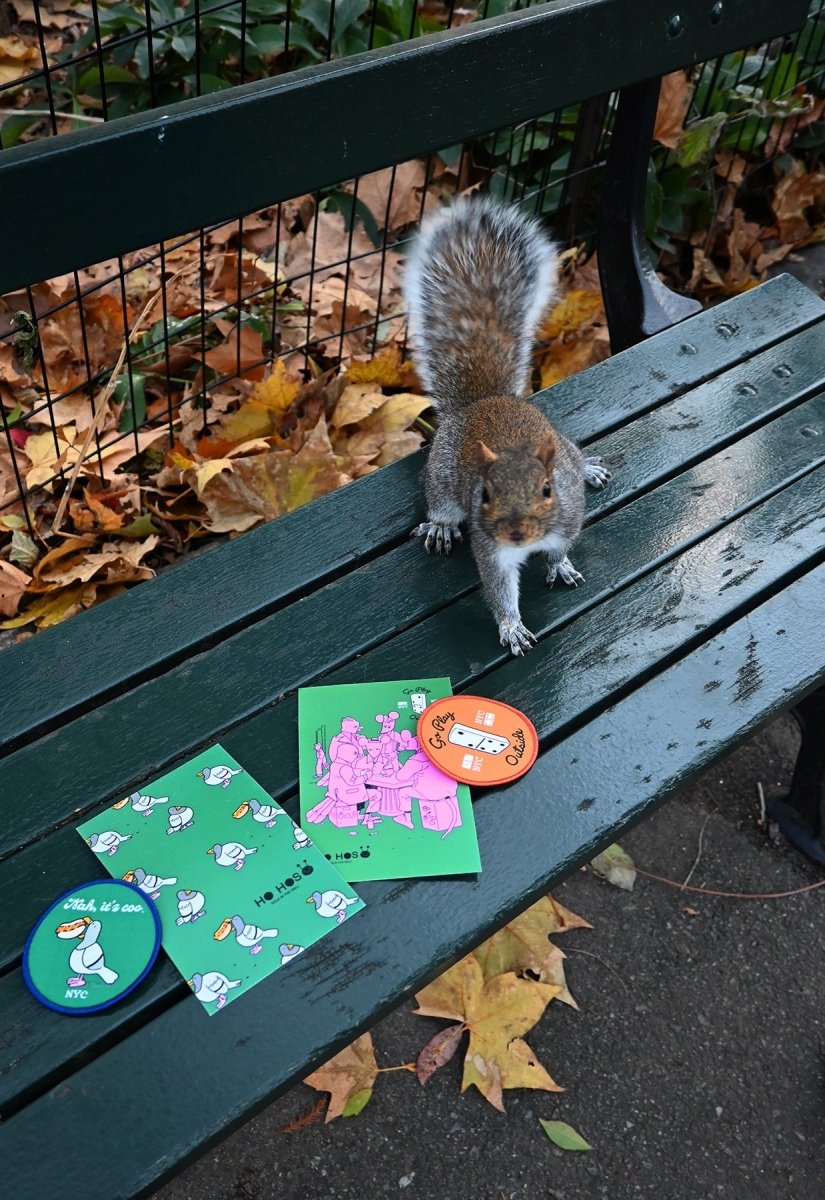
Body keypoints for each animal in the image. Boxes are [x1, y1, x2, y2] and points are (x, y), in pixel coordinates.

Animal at [402, 198, 609, 662]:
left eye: (548, 489)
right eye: (485, 494)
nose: (516, 533)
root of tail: (484, 401)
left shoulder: (569, 515)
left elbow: (562, 546)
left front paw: (559, 564)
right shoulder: (491, 548)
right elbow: (498, 589)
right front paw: (512, 626)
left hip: (561, 443)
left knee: (574, 454)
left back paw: (589, 468)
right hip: (441, 476)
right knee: (438, 502)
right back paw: (441, 526)